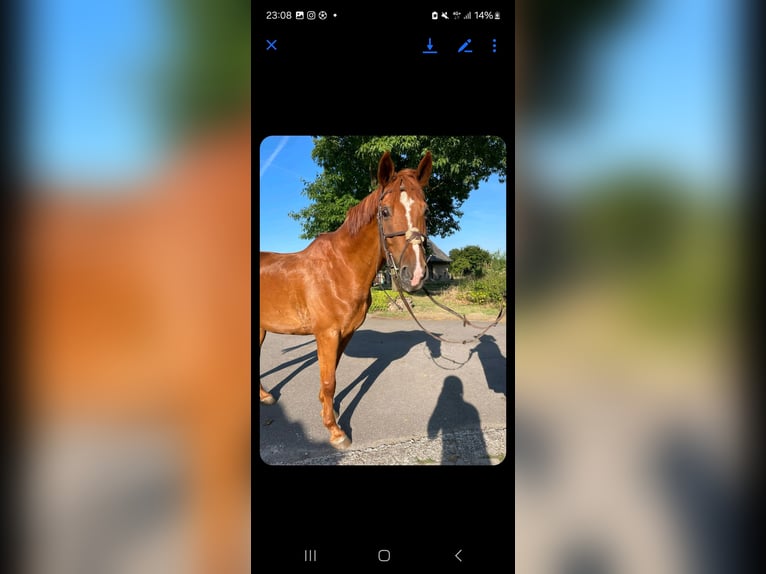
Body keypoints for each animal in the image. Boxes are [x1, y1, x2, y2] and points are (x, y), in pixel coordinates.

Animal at [260, 150, 432, 449]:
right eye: (385, 212)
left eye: (425, 210)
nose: (416, 274)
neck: (339, 268)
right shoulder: (327, 334)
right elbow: (329, 380)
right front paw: (335, 431)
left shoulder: (345, 333)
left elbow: (332, 375)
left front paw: (329, 410)